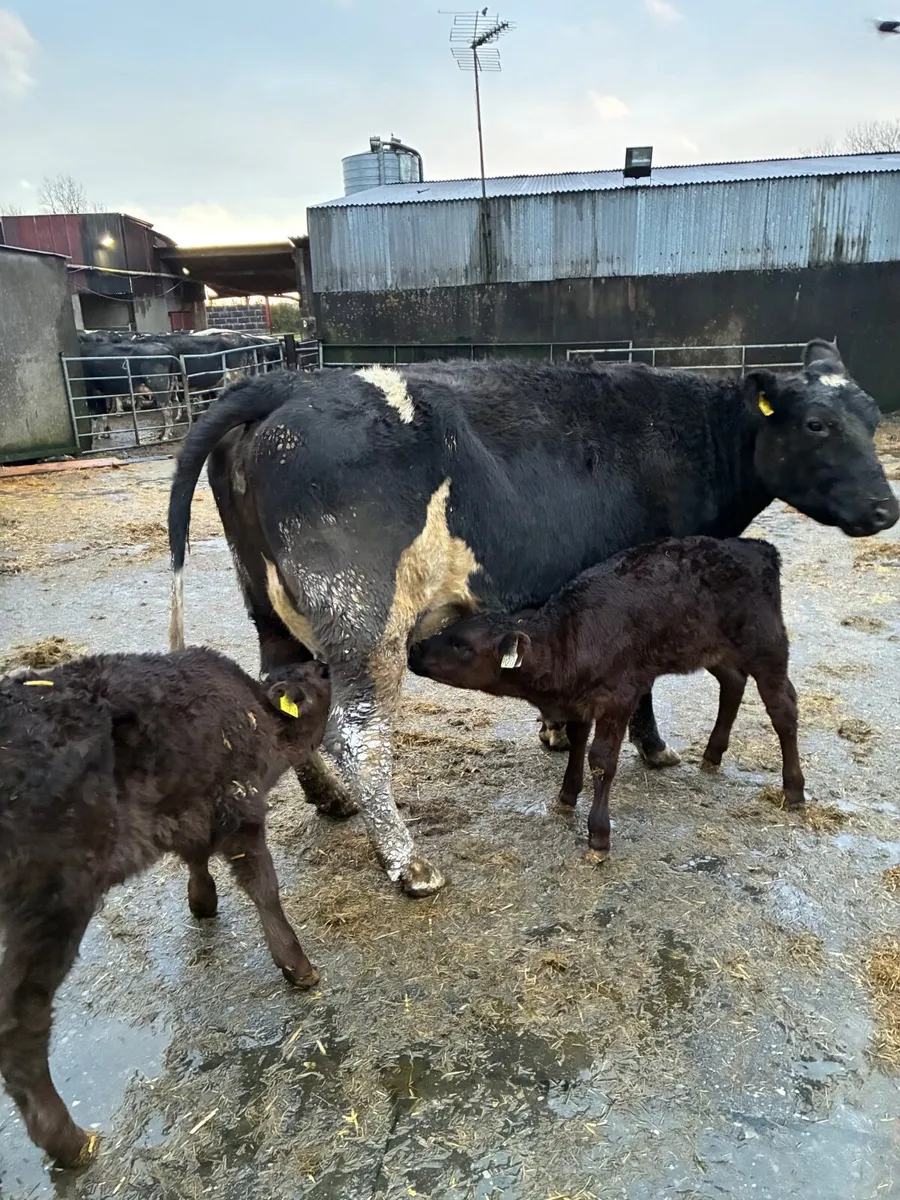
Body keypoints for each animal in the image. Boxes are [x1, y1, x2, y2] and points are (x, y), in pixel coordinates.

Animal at [0, 648, 330, 1168]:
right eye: (313, 677)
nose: (323, 662)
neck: (258, 715)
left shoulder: (187, 810)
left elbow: (194, 857)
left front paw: (202, 901)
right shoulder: (239, 804)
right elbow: (264, 888)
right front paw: (298, 966)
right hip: (53, 903)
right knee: (19, 1024)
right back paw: (72, 1143)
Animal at [408, 536, 803, 855]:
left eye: (463, 646)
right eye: (447, 630)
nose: (413, 651)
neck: (570, 637)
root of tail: (758, 547)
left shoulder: (618, 698)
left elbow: (601, 758)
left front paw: (598, 834)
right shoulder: (578, 700)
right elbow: (577, 743)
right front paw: (567, 796)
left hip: (766, 644)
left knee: (783, 707)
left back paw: (794, 789)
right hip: (711, 648)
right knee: (733, 682)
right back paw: (713, 753)